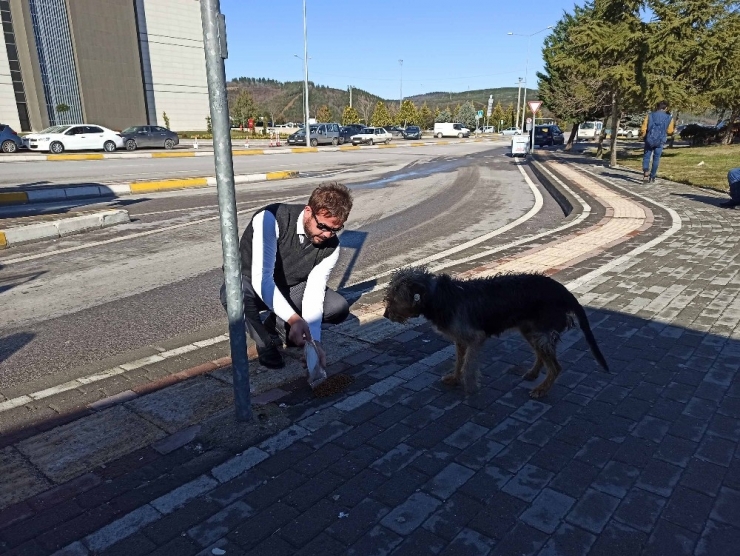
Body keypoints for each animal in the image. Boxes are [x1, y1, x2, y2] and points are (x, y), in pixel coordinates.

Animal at [382, 268, 608, 398]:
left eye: (393, 298)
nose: (384, 314)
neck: (439, 296)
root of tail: (565, 292)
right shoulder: (460, 340)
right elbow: (458, 362)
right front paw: (455, 378)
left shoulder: (475, 339)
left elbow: (468, 365)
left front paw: (470, 387)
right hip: (530, 330)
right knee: (542, 357)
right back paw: (533, 374)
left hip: (540, 332)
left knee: (556, 367)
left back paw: (542, 389)